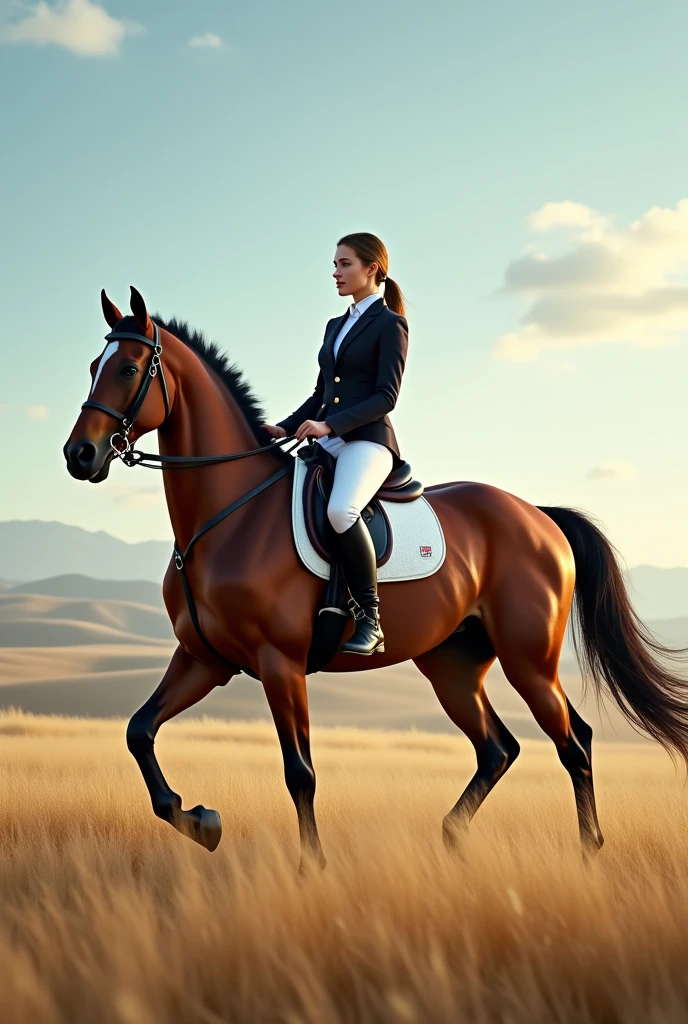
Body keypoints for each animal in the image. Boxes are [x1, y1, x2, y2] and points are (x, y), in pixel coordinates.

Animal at [64, 287, 688, 870]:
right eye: (93, 366)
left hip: (528, 659)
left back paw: (588, 852)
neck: (228, 514)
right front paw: (200, 820)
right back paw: (452, 837)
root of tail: (538, 516)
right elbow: (138, 731)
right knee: (498, 748)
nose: (80, 455)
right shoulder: (205, 659)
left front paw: (310, 867)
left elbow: (300, 772)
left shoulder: (279, 663)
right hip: (453, 664)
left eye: (127, 369)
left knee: (573, 742)